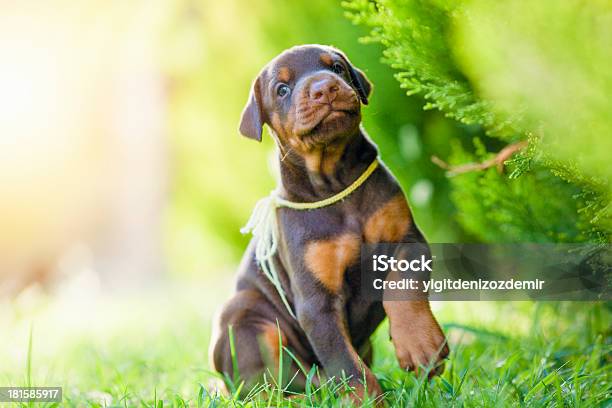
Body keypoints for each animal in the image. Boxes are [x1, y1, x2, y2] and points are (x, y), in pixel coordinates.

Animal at [209, 43, 444, 402]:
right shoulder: (316, 301)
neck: (336, 184)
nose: (325, 87)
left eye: (336, 67)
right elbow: (345, 365)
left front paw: (420, 343)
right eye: (282, 89)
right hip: (243, 314)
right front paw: (366, 402)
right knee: (268, 385)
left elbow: (402, 285)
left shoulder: (408, 238)